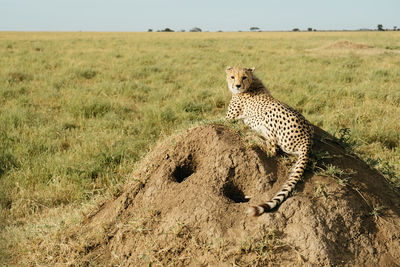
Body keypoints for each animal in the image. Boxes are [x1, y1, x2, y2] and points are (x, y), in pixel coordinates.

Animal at [225, 67, 312, 218]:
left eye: (244, 77)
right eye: (232, 77)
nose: (237, 86)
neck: (252, 83)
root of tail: (307, 137)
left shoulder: (228, 118)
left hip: (270, 113)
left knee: (272, 149)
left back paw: (251, 135)